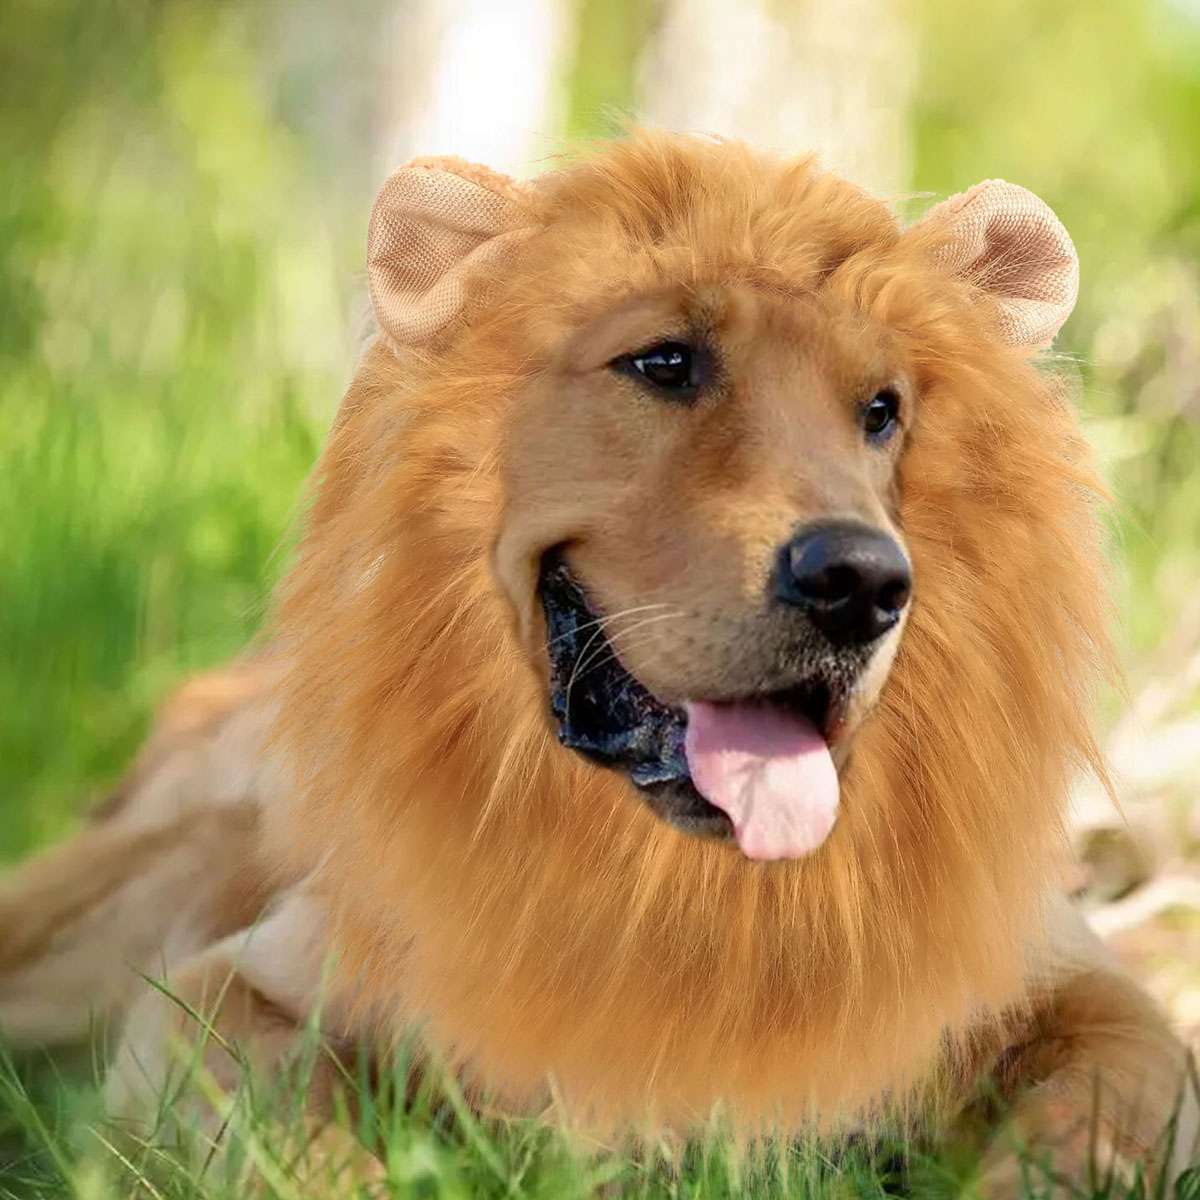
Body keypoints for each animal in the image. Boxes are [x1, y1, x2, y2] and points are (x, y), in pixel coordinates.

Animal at [1, 131, 1195, 1192]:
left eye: (882, 412)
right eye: (664, 363)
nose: (862, 582)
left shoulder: (1090, 997)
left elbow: (1091, 1120)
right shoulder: (222, 987)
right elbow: (300, 1139)